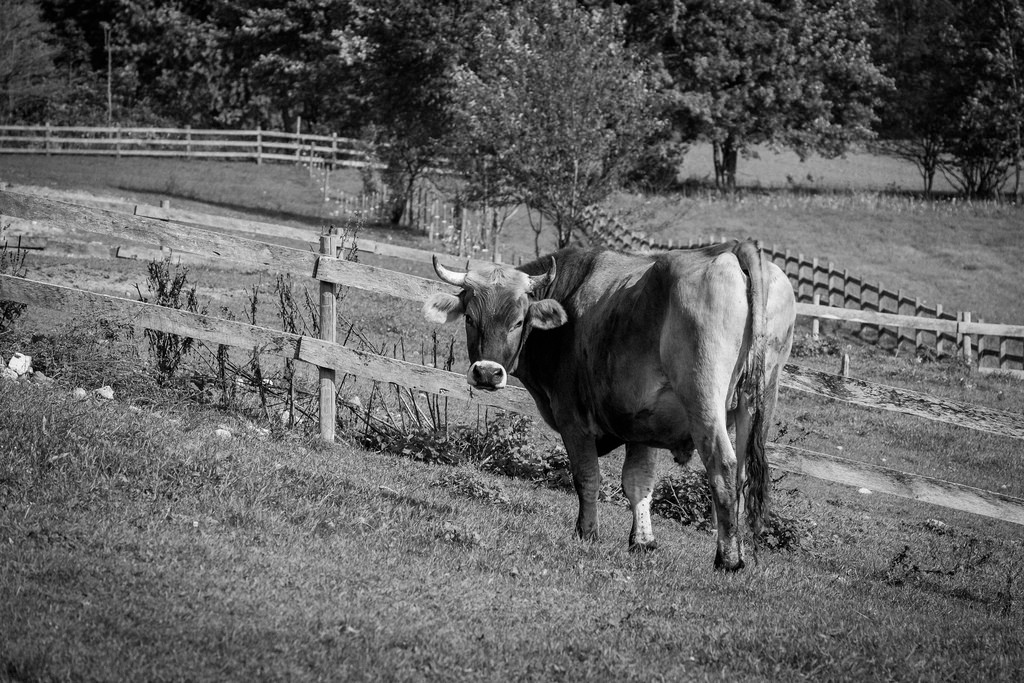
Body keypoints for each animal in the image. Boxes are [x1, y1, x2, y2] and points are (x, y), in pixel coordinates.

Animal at [419, 241, 794, 573]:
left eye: (518, 320)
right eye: (470, 318)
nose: (487, 372)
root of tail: (734, 251)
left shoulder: (573, 418)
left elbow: (587, 476)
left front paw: (587, 532)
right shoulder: (642, 422)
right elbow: (638, 481)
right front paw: (642, 541)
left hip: (703, 400)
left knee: (723, 466)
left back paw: (727, 559)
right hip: (759, 402)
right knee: (742, 474)